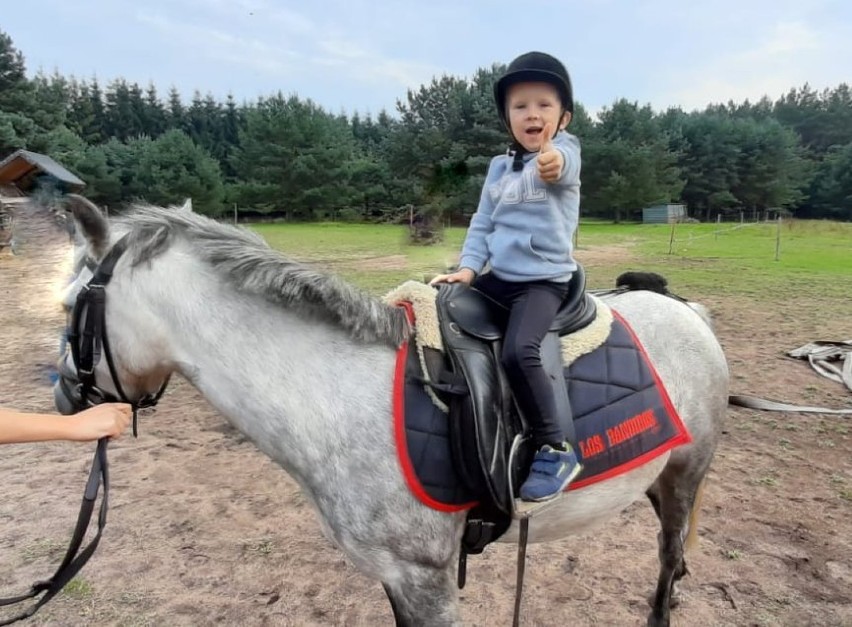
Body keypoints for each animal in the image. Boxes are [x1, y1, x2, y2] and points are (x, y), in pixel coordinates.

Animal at [58, 197, 724, 627]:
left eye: (67, 306)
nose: (65, 397)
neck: (341, 397)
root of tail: (687, 309)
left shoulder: (426, 578)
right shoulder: (394, 576)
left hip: (685, 471)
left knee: (668, 553)